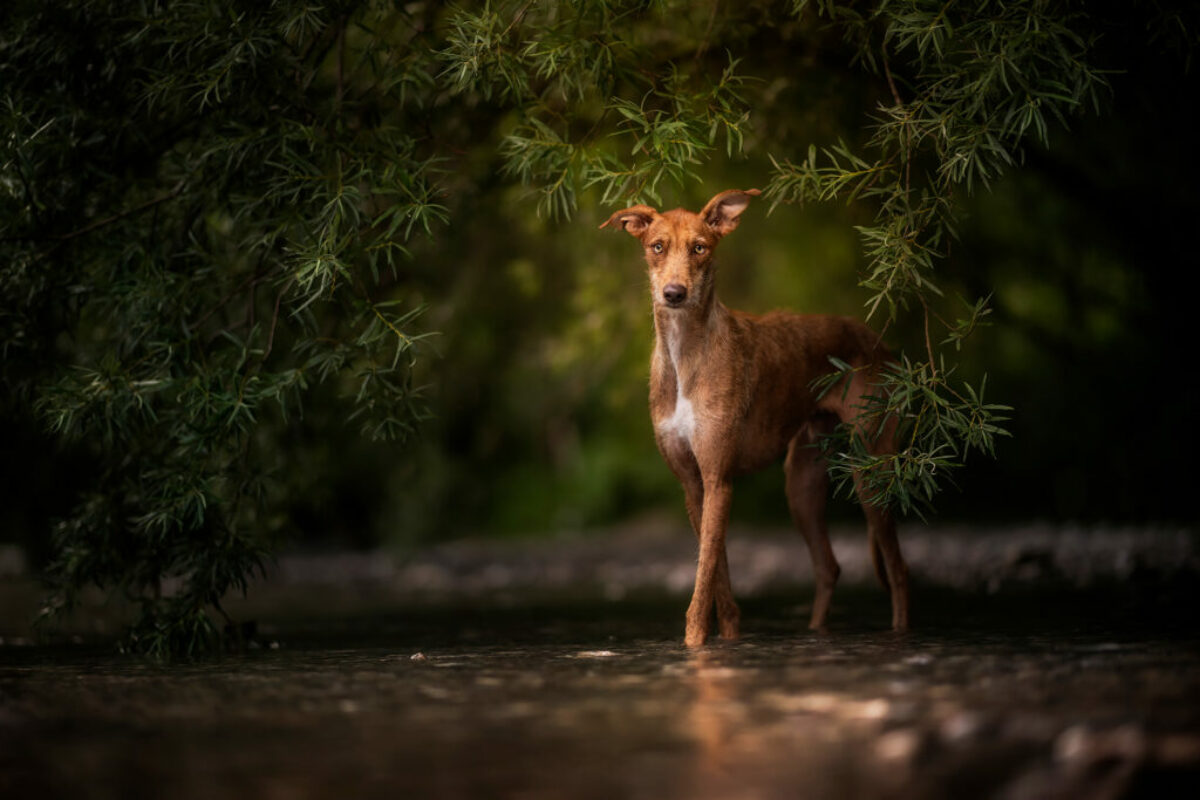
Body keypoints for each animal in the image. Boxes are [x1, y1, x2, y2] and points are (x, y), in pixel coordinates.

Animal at [604, 190, 902, 647]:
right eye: (657, 246)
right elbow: (717, 570)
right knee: (829, 566)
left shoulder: (718, 479)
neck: (685, 355)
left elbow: (704, 573)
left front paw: (694, 643)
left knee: (899, 571)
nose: (674, 293)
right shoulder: (695, 484)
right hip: (802, 485)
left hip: (871, 475)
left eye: (700, 248)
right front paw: (727, 635)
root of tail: (876, 340)